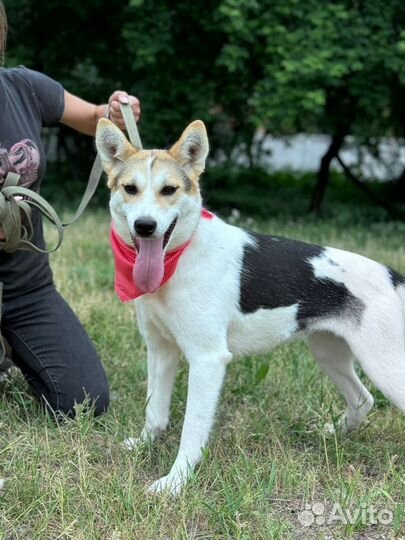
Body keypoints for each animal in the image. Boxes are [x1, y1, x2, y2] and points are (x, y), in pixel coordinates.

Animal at [95, 117, 404, 494]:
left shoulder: (208, 359)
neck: (181, 255)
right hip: (329, 353)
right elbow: (155, 412)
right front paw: (144, 445)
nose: (145, 226)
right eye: (130, 188)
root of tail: (392, 275)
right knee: (363, 399)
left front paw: (176, 482)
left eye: (169, 190)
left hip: (384, 366)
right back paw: (332, 435)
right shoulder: (160, 349)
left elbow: (192, 430)